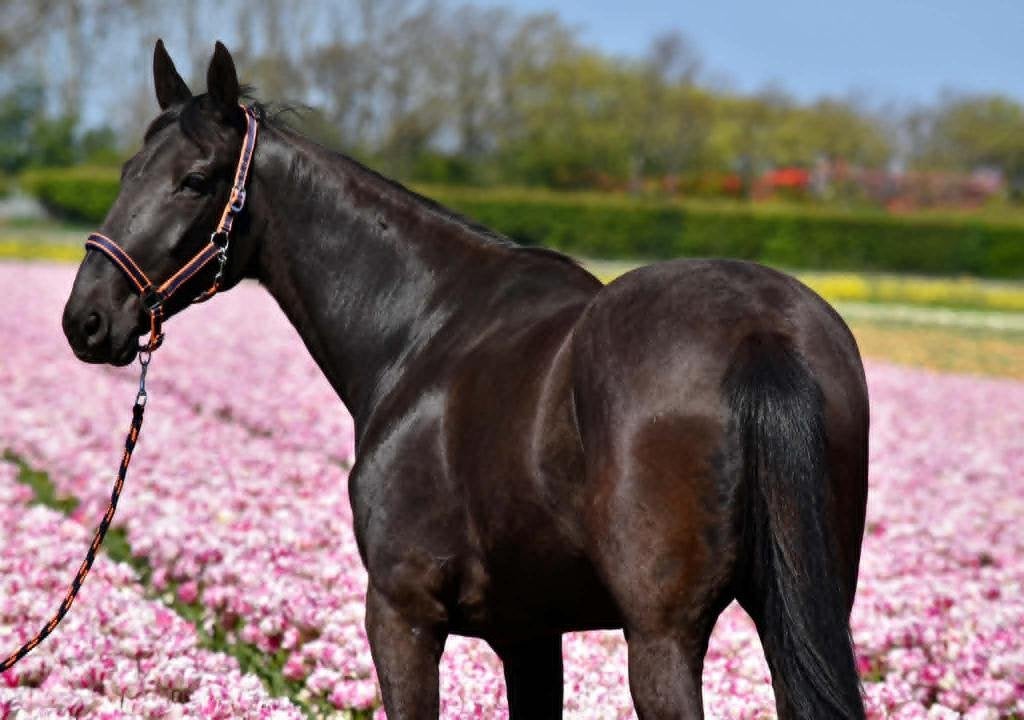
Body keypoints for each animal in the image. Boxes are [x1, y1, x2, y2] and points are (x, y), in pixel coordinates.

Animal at [62, 41, 869, 720]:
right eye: (128, 173)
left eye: (196, 180)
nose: (88, 319)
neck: (422, 327)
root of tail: (760, 333)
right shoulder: (530, 633)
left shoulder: (402, 613)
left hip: (662, 636)